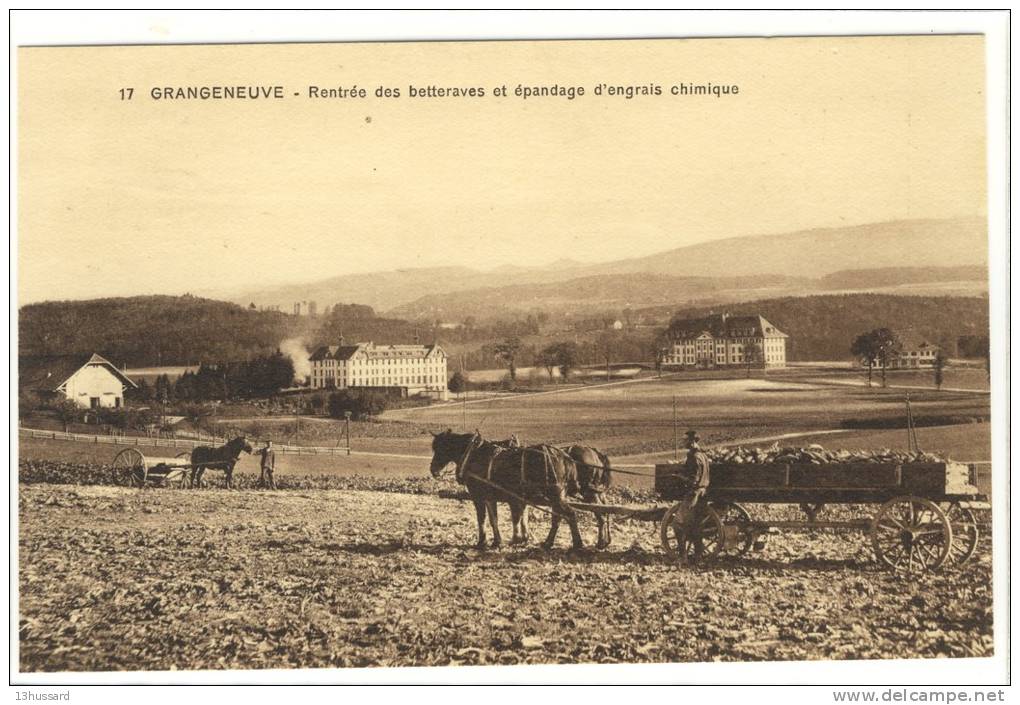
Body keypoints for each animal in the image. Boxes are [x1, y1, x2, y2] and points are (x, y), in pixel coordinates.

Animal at [430, 430, 587, 550]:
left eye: (439, 448)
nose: (433, 470)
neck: (473, 455)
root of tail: (565, 457)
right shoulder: (491, 497)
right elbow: (493, 518)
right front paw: (497, 541)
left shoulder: (478, 496)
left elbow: (482, 518)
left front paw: (482, 542)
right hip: (557, 496)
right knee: (559, 516)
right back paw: (549, 543)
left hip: (555, 494)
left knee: (569, 514)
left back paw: (576, 543)